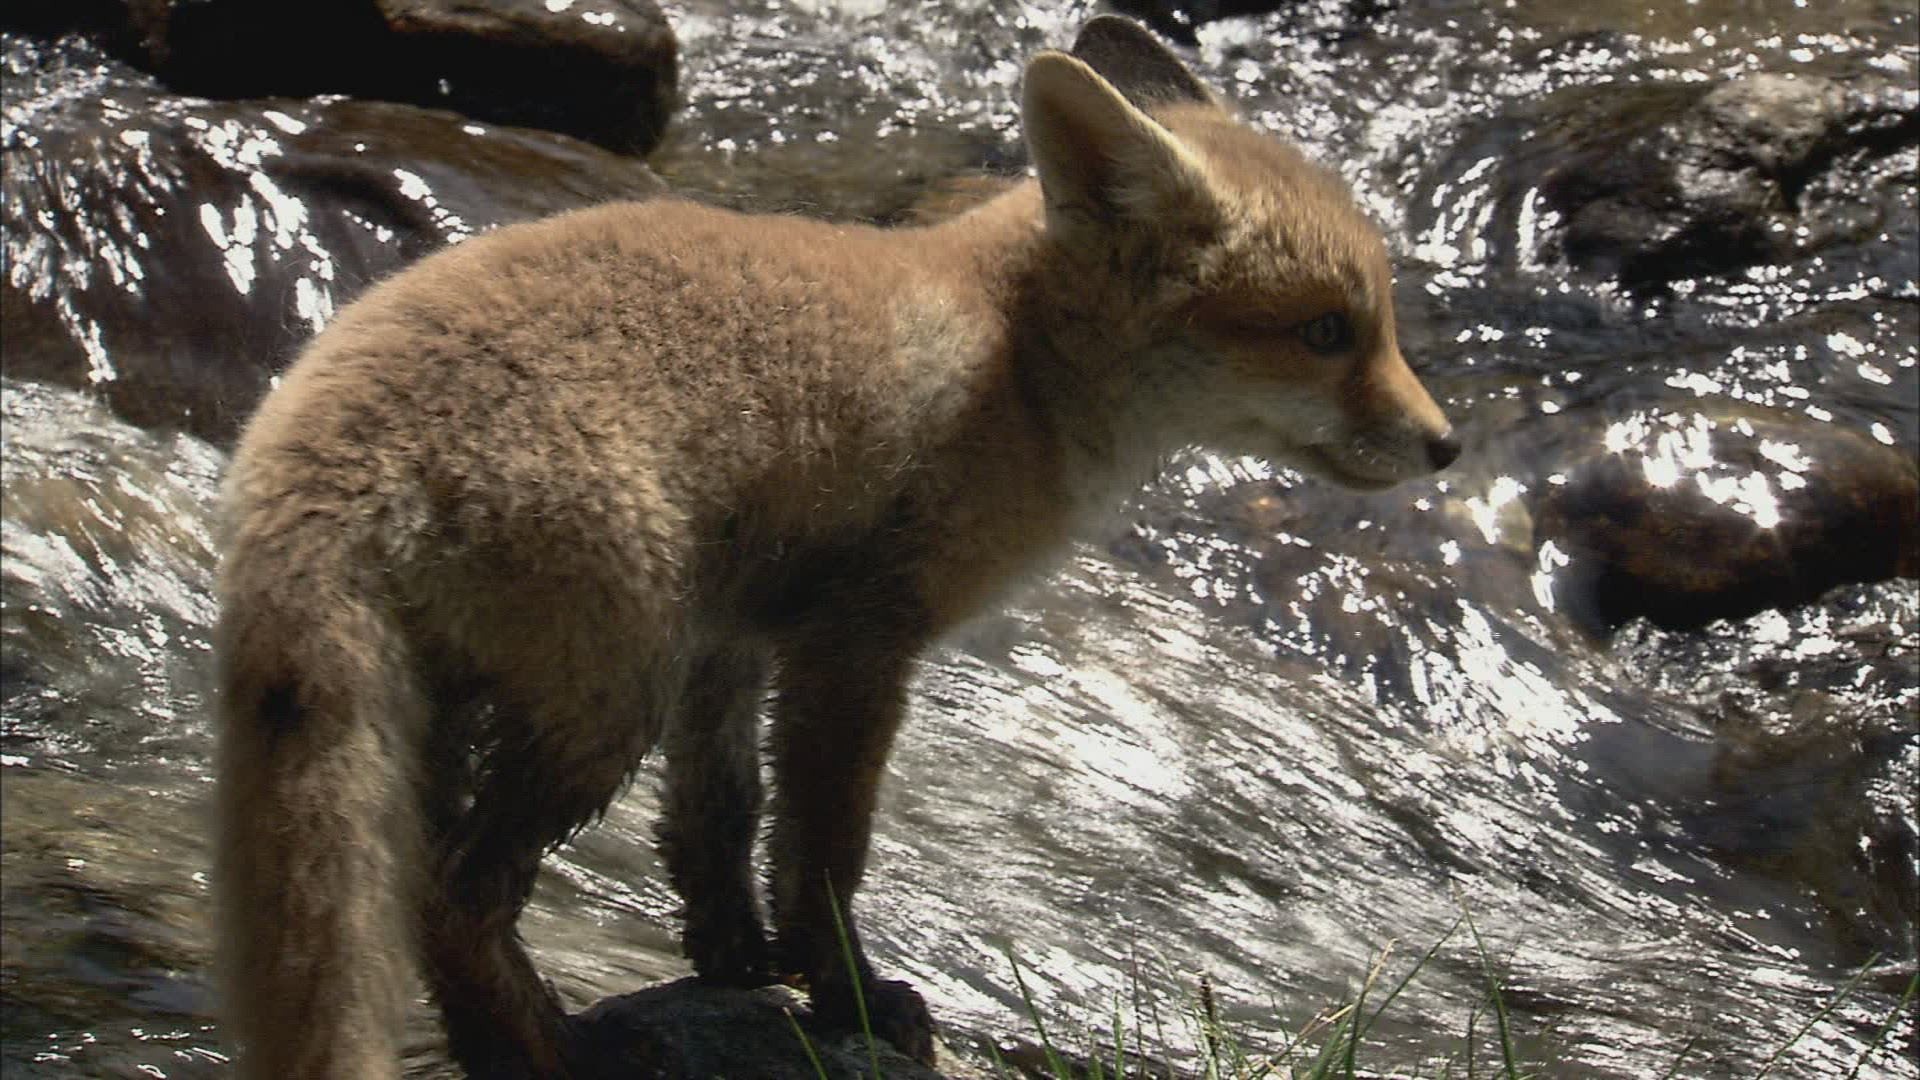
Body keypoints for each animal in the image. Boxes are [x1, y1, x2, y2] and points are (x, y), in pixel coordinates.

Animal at [212, 14, 1457, 1079]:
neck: (1016, 366)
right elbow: (822, 849)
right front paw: (848, 997)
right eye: (1326, 332)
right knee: (451, 899)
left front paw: (735, 965)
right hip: (605, 697)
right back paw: (552, 1050)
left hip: (482, 703)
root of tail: (304, 453)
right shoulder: (856, 642)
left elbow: (716, 827)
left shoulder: (732, 637)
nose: (1444, 445)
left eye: (1383, 322)